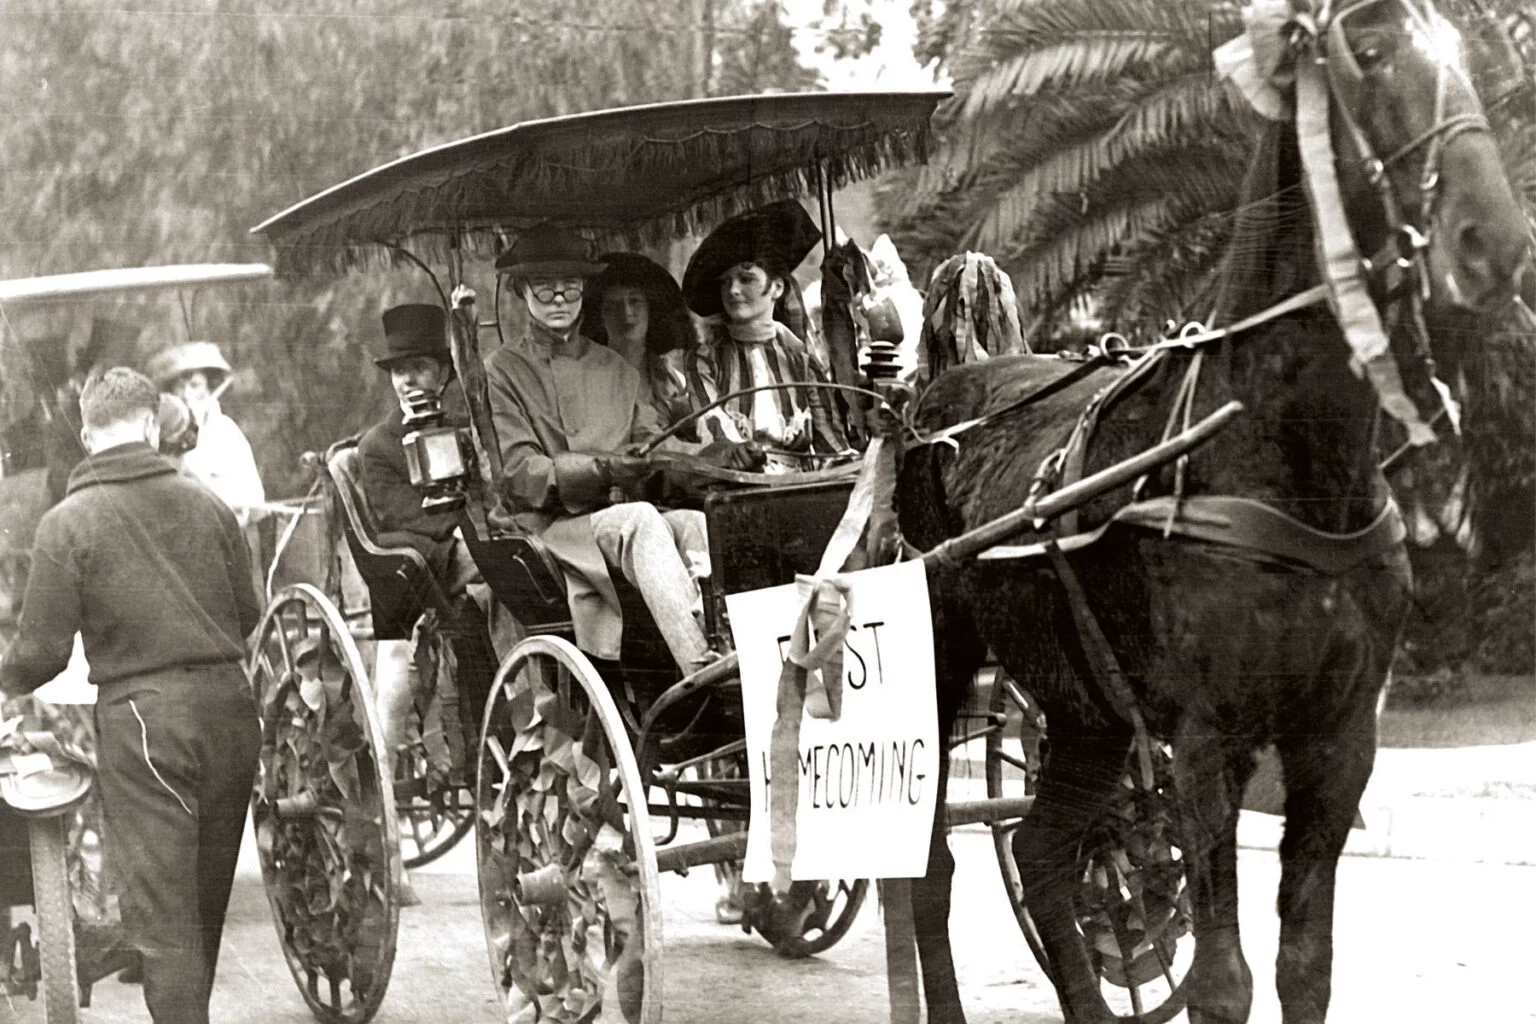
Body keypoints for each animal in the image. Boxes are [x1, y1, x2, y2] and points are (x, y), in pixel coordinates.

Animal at [897, 4, 1529, 1019]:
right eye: (1370, 52)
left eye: (1469, 54)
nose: (1493, 240)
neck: (1279, 452)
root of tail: (947, 388)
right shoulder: (1208, 741)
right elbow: (1223, 980)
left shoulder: (1339, 741)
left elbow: (1305, 964)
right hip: (945, 650)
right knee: (931, 870)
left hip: (1086, 707)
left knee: (1042, 851)